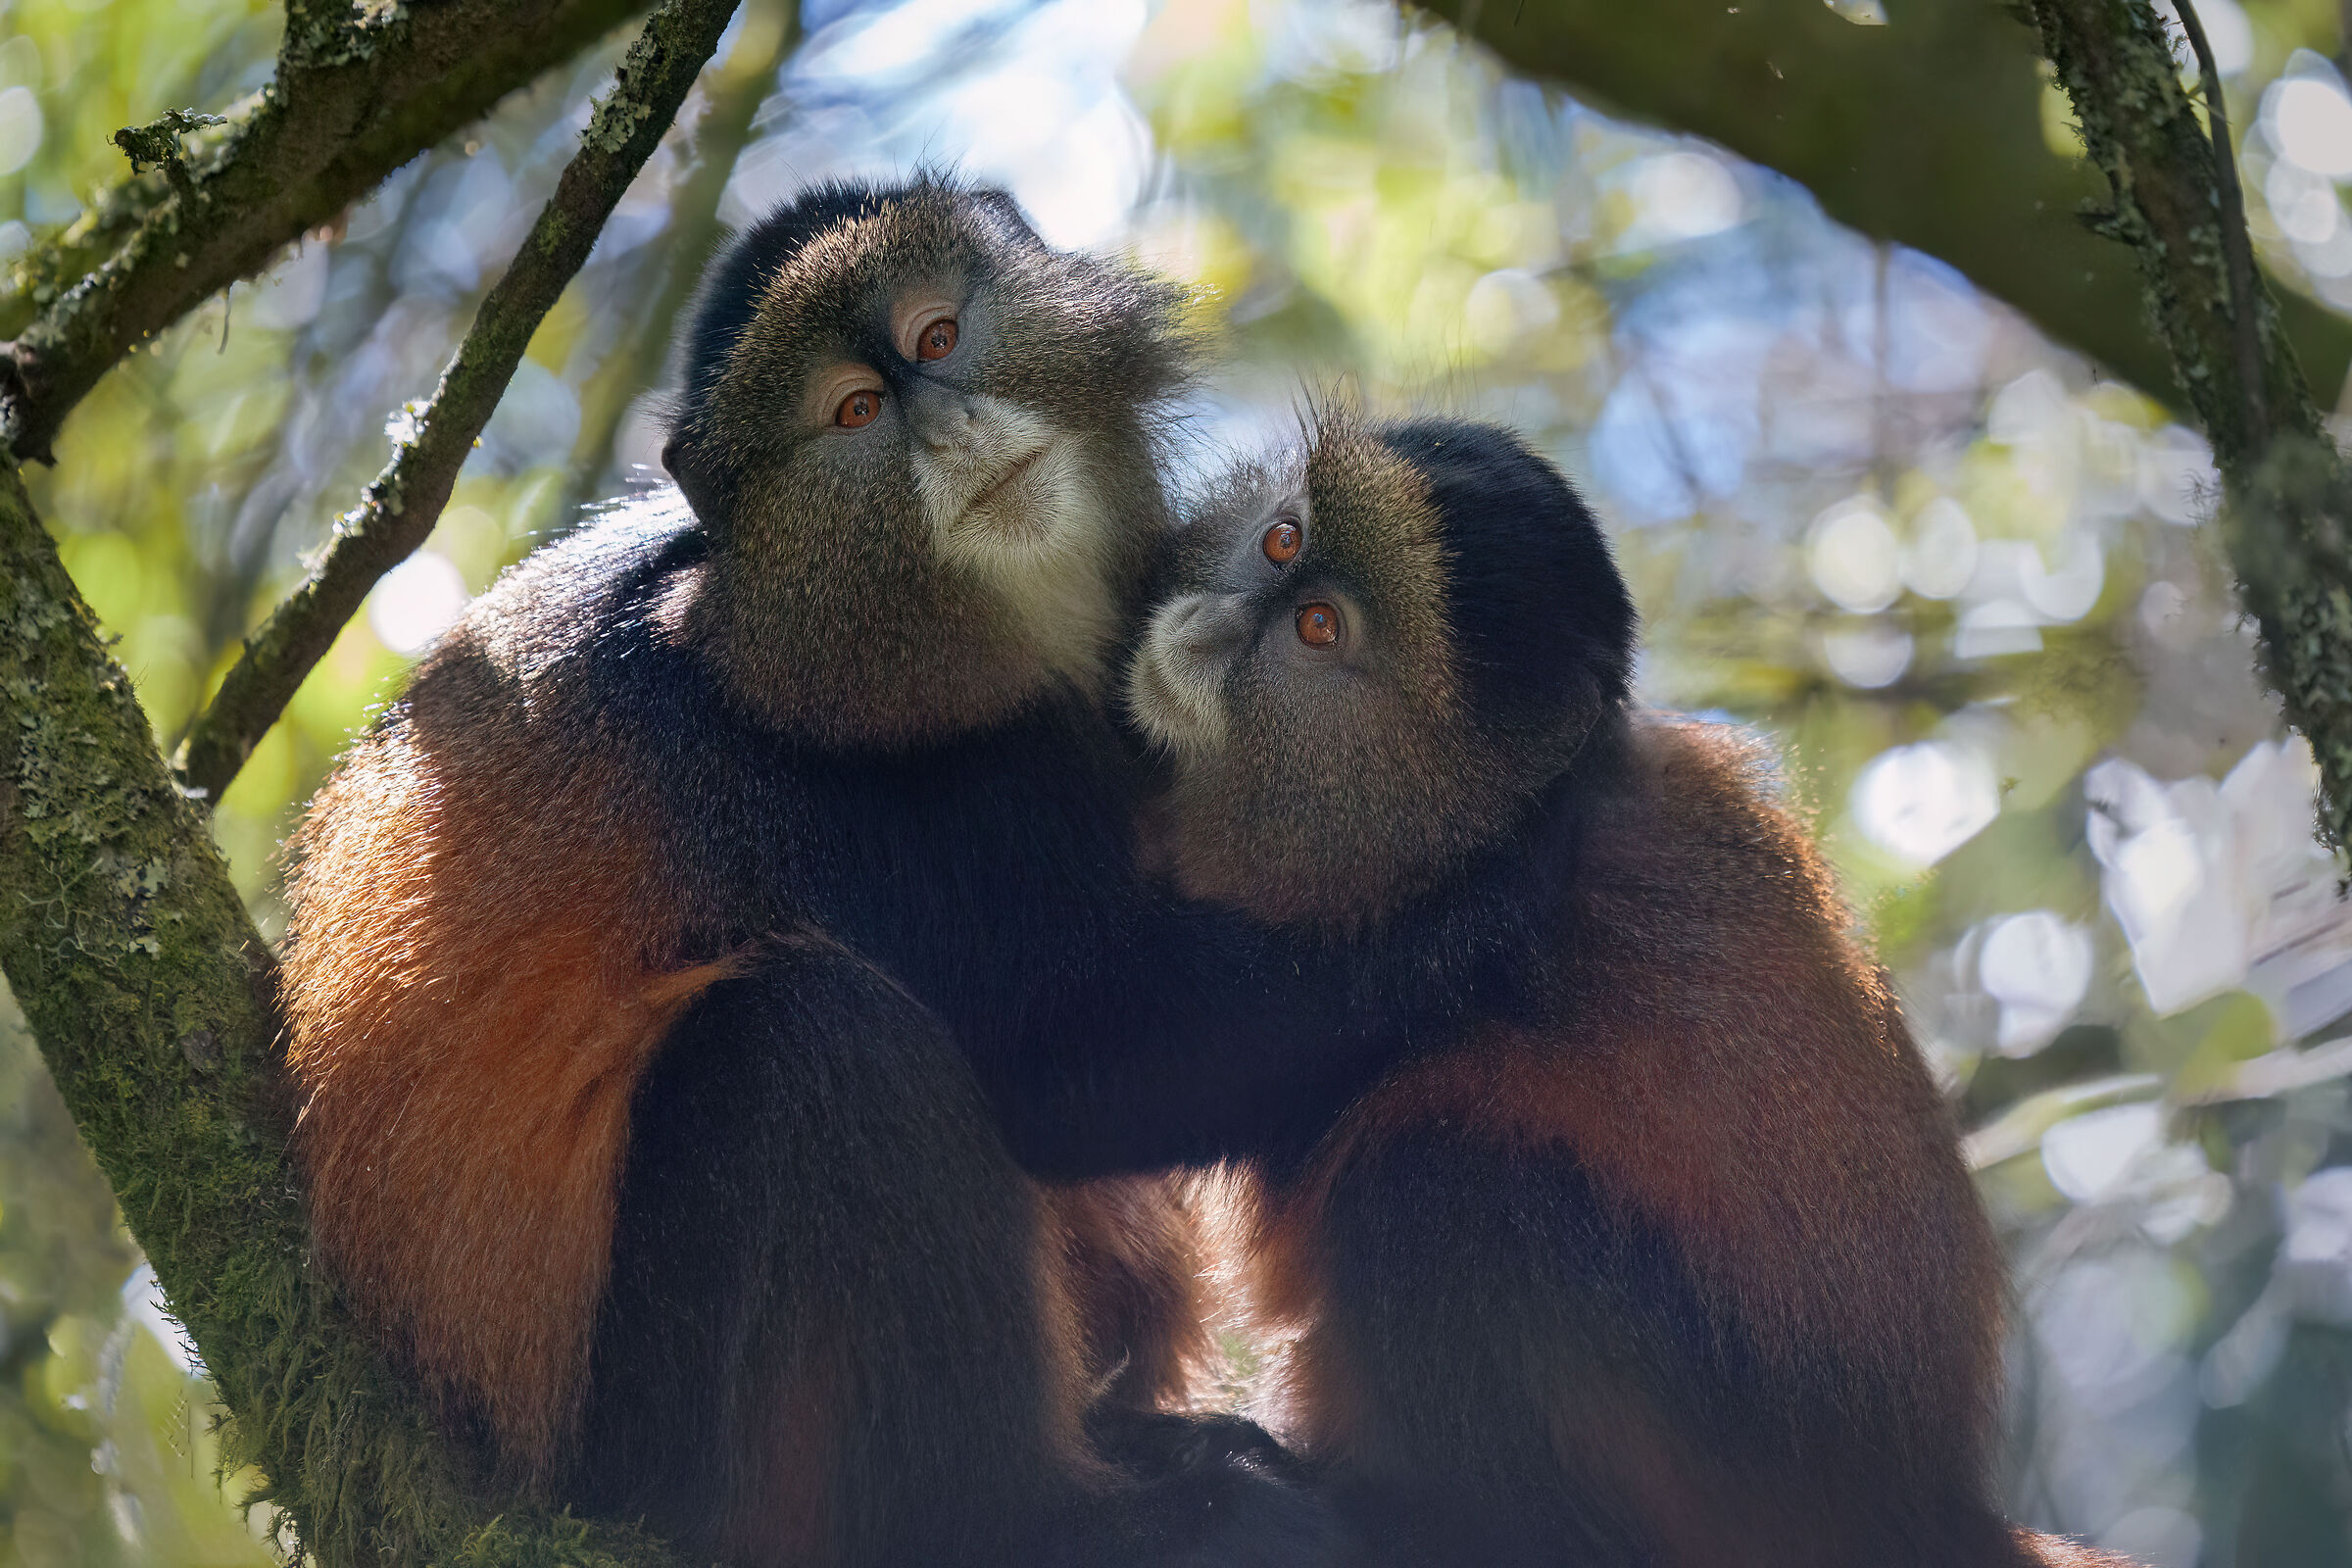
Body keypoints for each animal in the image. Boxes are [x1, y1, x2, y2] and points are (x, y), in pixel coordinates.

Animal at [279, 177, 1393, 1568]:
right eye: (856, 413)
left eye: (937, 338)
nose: (953, 427)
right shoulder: (834, 779)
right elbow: (1086, 1057)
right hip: (671, 1467)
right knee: (810, 1038)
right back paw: (1048, 1516)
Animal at [1121, 411, 2140, 1568]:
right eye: (1281, 541)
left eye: (1319, 629)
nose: (1206, 628)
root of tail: (1925, 1510)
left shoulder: (1458, 930)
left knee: (1437, 1176)